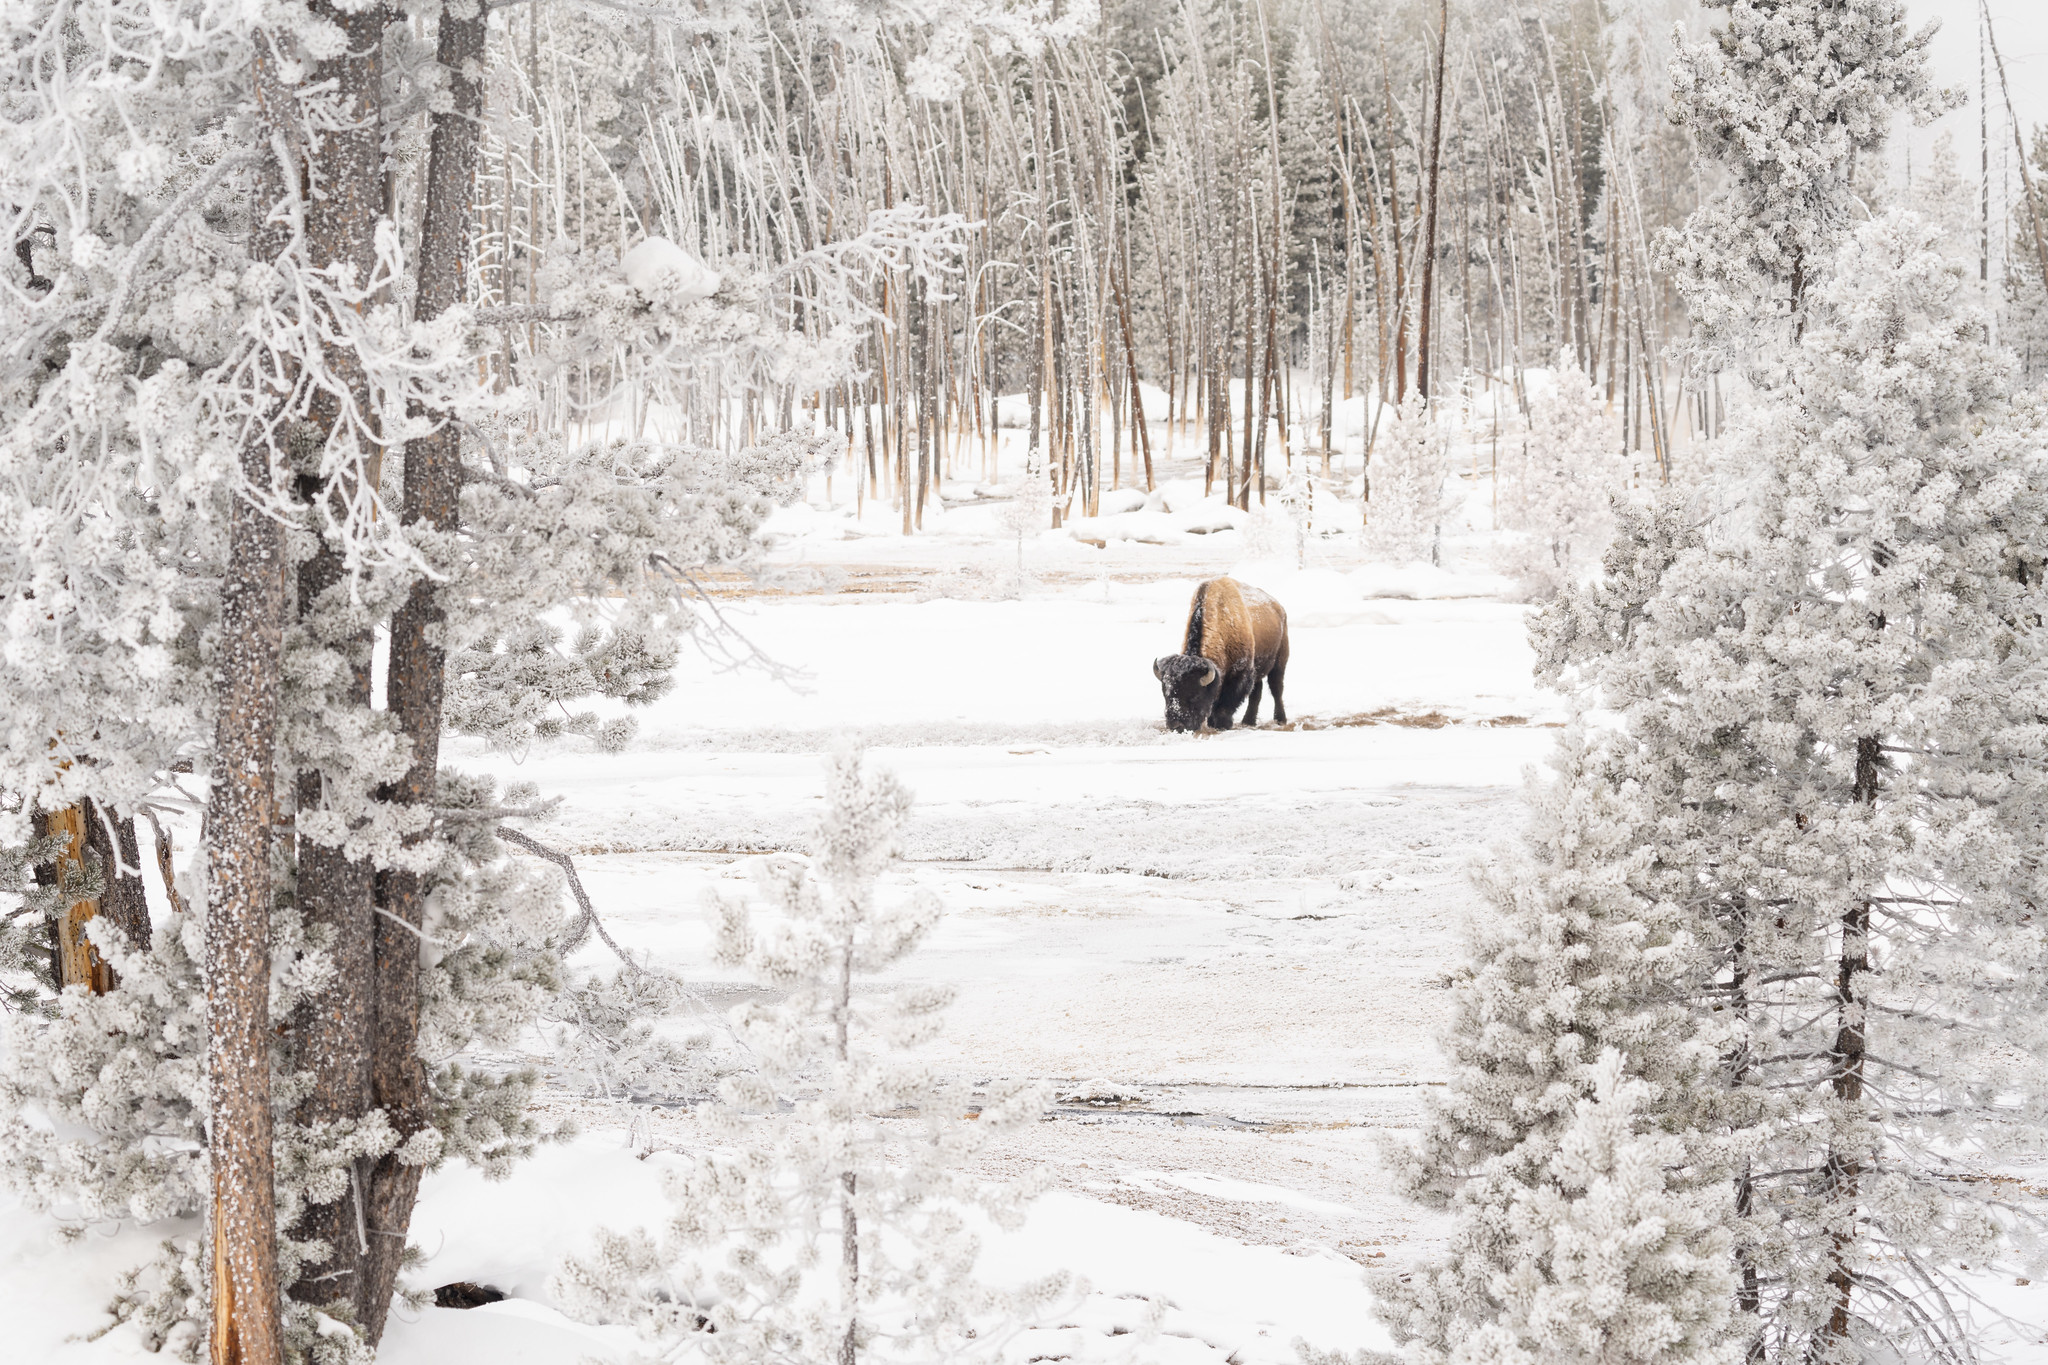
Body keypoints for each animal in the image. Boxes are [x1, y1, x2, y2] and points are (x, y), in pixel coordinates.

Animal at [1155, 581, 1294, 736]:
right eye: (1166, 694)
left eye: (1195, 696)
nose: (1176, 726)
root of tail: (1279, 608)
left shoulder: (1239, 674)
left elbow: (1227, 702)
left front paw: (1222, 724)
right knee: (1257, 692)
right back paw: (1248, 721)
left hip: (1280, 662)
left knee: (1276, 689)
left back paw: (1280, 719)